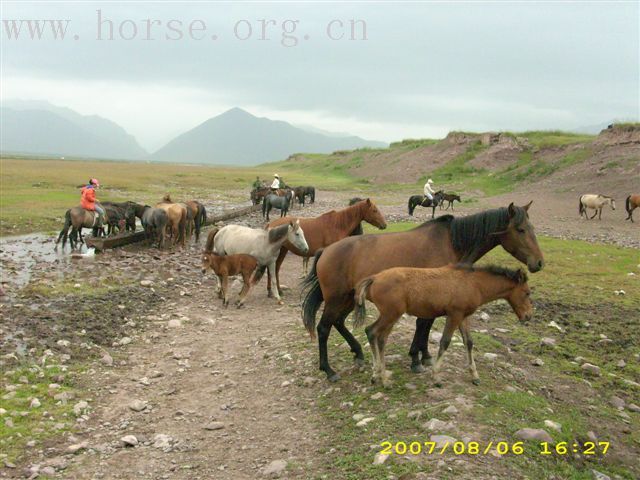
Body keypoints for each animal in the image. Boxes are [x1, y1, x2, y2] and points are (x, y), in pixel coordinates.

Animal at [352, 264, 532, 388]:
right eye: (527, 292)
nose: (528, 316)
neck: (473, 283)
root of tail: (375, 278)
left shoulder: (463, 316)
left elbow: (469, 342)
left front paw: (474, 375)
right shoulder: (454, 315)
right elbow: (445, 342)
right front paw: (436, 377)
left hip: (389, 315)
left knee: (373, 333)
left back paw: (376, 374)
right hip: (391, 314)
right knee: (376, 334)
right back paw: (383, 379)